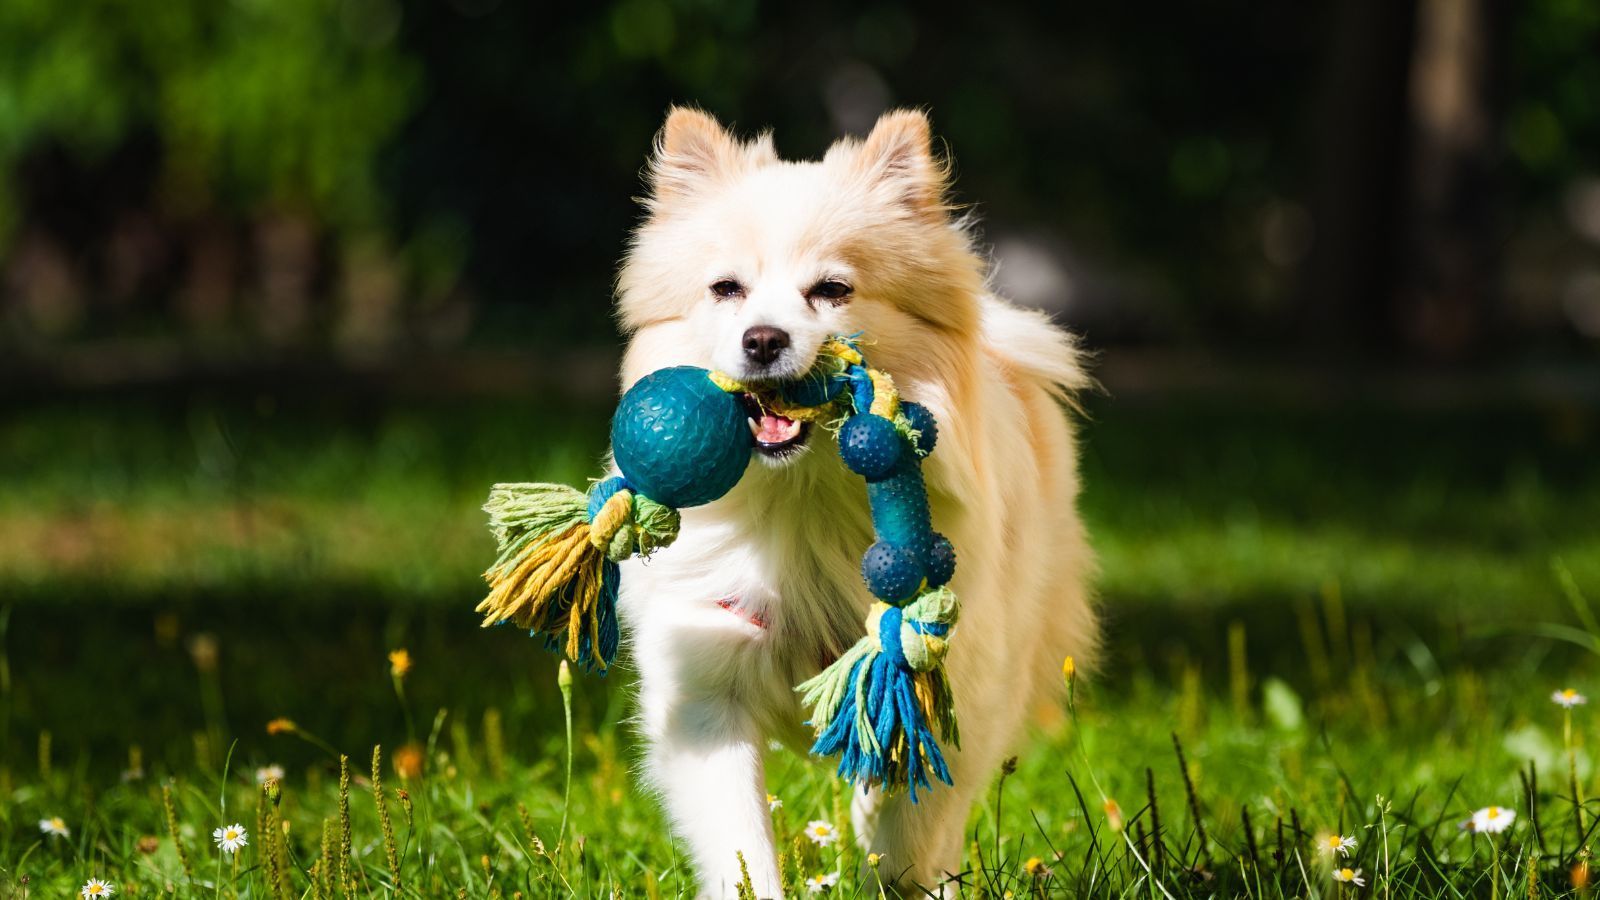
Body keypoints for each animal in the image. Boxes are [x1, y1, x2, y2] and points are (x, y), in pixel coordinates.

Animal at [611, 108, 1100, 890]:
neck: (801, 501)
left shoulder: (943, 687)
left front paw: (892, 870)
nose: (763, 339)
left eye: (832, 290)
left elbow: (906, 825)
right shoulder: (706, 691)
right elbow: (743, 846)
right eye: (726, 289)